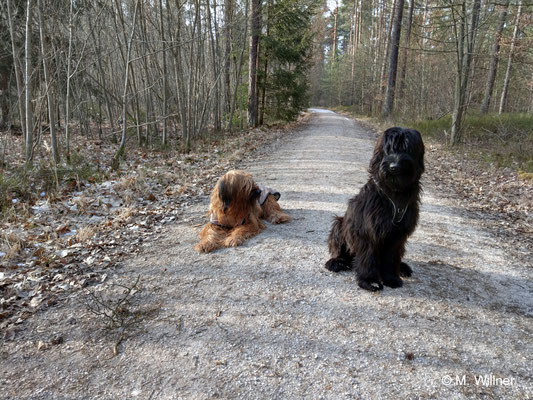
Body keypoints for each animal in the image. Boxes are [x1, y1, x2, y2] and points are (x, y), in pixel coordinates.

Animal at [322, 127, 426, 290]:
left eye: (407, 148)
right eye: (388, 149)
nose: (394, 167)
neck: (394, 194)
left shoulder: (397, 236)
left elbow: (391, 258)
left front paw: (391, 278)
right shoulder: (368, 231)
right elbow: (368, 257)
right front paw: (369, 280)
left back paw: (402, 267)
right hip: (340, 224)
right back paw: (337, 262)